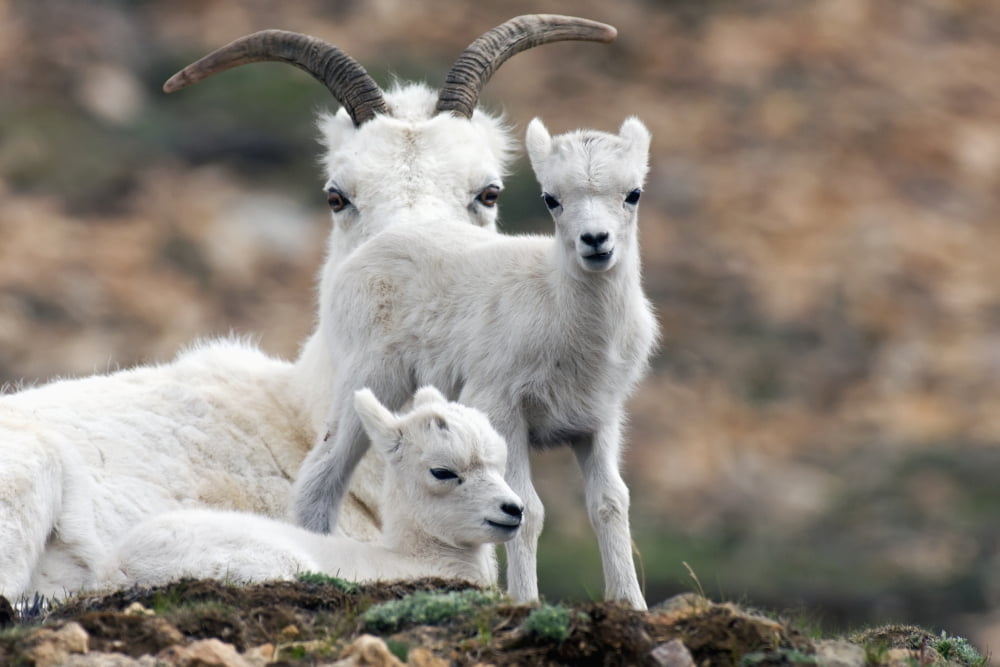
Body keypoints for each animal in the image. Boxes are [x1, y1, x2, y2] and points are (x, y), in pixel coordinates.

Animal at [293, 117, 659, 609]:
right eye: (552, 198)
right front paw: (525, 601)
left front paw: (631, 604)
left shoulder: (598, 422)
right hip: (368, 380)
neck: (561, 312)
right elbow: (529, 509)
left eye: (633, 193)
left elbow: (610, 503)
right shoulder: (504, 410)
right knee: (321, 475)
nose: (596, 242)